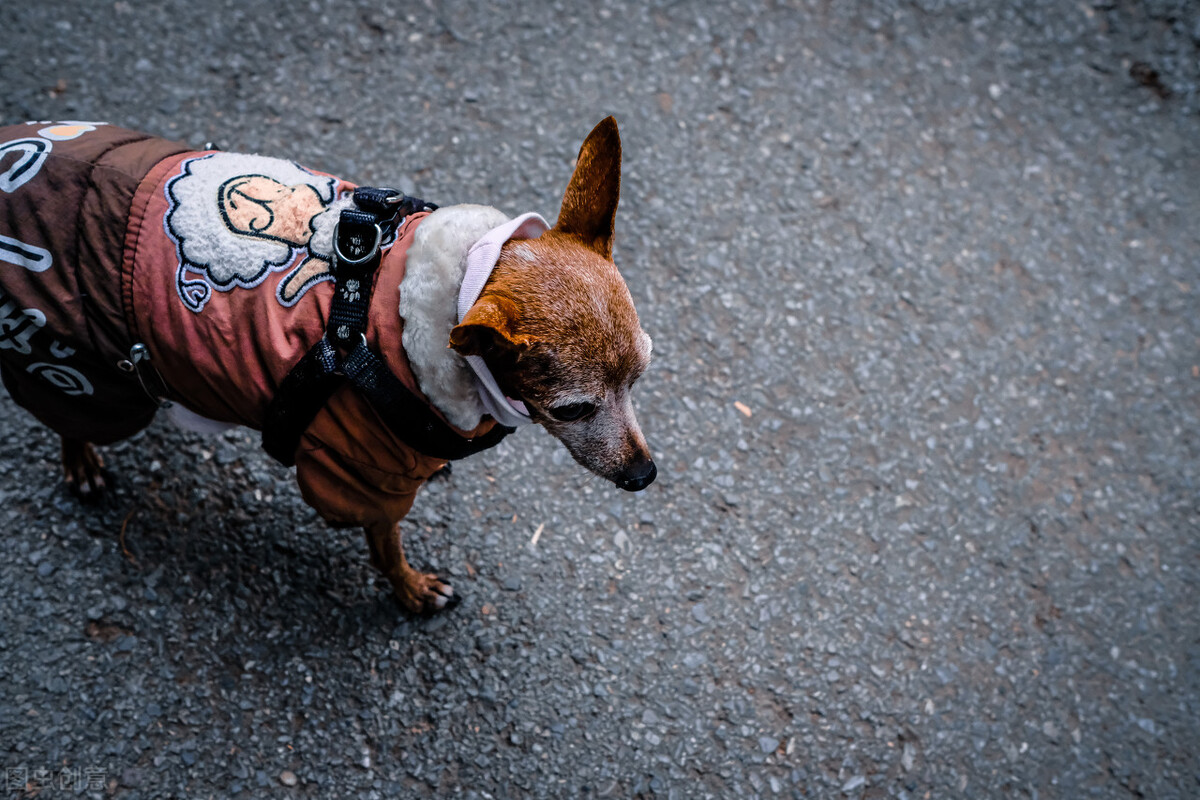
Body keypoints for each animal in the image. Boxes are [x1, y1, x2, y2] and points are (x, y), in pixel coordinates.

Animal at [0, 115, 652, 614]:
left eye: (642, 376)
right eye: (572, 410)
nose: (645, 474)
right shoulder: (358, 475)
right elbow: (385, 542)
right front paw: (410, 590)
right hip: (78, 367)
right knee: (71, 416)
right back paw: (81, 462)